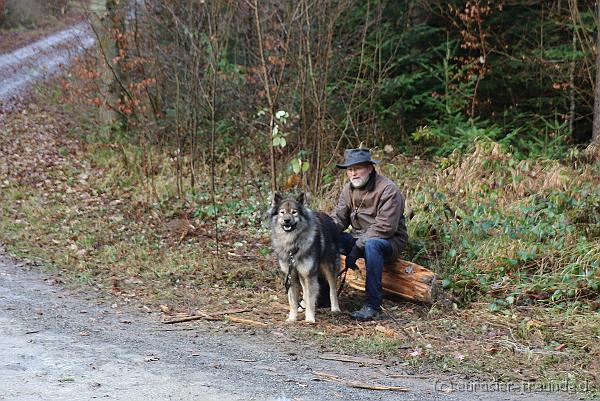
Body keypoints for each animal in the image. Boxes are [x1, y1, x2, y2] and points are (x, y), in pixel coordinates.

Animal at [268, 191, 340, 322]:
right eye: (282, 212)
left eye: (294, 212)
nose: (286, 220)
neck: (293, 243)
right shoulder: (291, 275)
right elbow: (292, 300)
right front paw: (292, 318)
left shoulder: (309, 274)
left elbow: (311, 297)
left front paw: (310, 318)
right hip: (302, 274)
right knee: (305, 292)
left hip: (328, 267)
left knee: (332, 288)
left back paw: (335, 308)